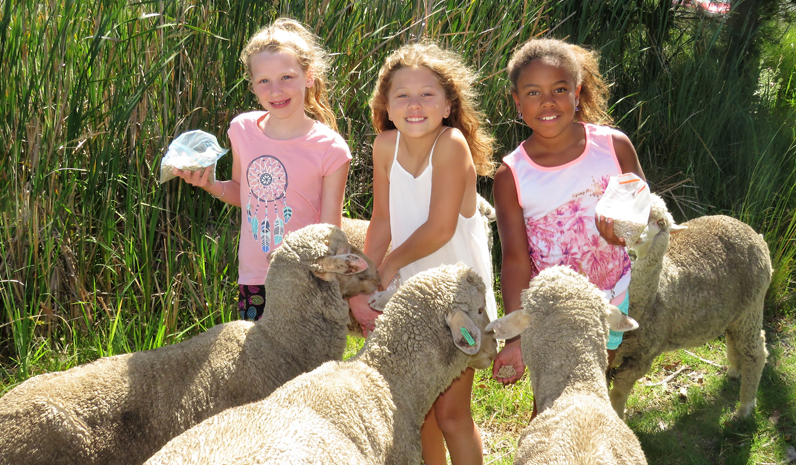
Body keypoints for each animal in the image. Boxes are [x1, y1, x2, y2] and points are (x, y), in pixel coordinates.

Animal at [608, 194, 772, 418]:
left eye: (661, 223)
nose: (635, 233)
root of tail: (754, 233)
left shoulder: (642, 357)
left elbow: (617, 395)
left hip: (752, 306)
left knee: (756, 351)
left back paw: (746, 407)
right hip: (734, 314)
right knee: (734, 340)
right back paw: (734, 371)